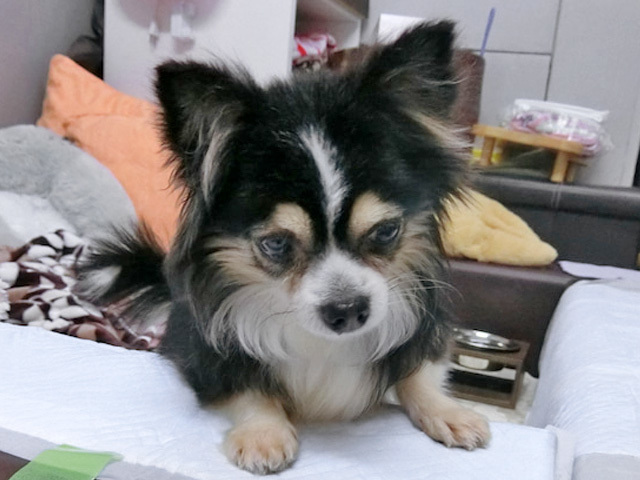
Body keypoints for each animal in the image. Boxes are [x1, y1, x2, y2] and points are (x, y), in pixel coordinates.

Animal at [76, 21, 490, 474]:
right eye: (276, 244)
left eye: (385, 232)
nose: (348, 311)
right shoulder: (205, 355)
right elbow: (247, 387)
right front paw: (263, 433)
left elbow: (420, 372)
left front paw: (446, 410)